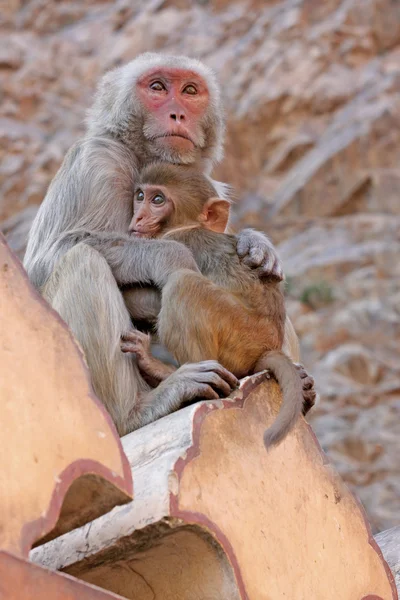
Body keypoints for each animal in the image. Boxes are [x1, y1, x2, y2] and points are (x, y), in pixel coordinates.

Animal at [24, 52, 294, 436]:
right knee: (82, 260)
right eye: (157, 87)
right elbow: (44, 263)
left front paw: (256, 243)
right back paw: (139, 408)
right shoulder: (98, 161)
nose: (177, 113)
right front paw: (171, 257)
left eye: (190, 90)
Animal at [125, 162, 306, 448]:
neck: (182, 226)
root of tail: (268, 346)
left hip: (240, 334)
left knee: (184, 284)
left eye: (158, 200)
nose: (138, 217)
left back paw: (169, 374)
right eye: (140, 195)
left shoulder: (174, 243)